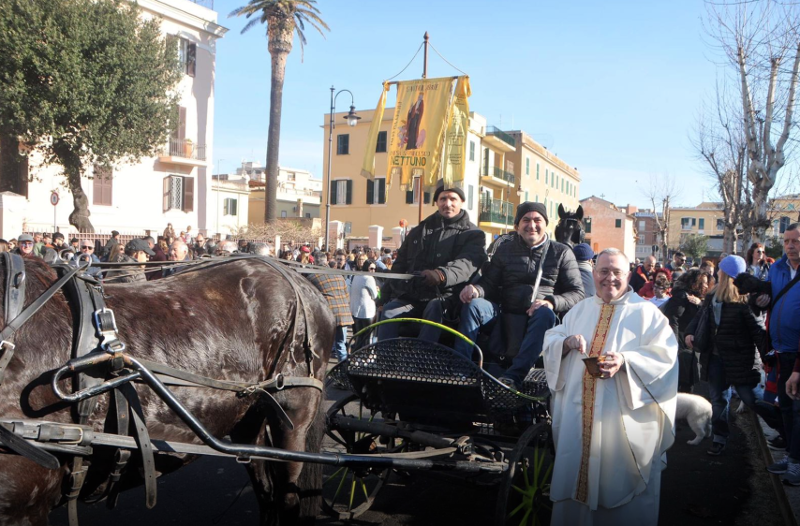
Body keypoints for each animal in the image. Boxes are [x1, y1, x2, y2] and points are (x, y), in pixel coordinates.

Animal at [0, 258, 334, 526]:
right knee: (266, 491)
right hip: (249, 421)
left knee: (287, 498)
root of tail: (302, 282)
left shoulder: (24, 508)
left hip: (292, 419)